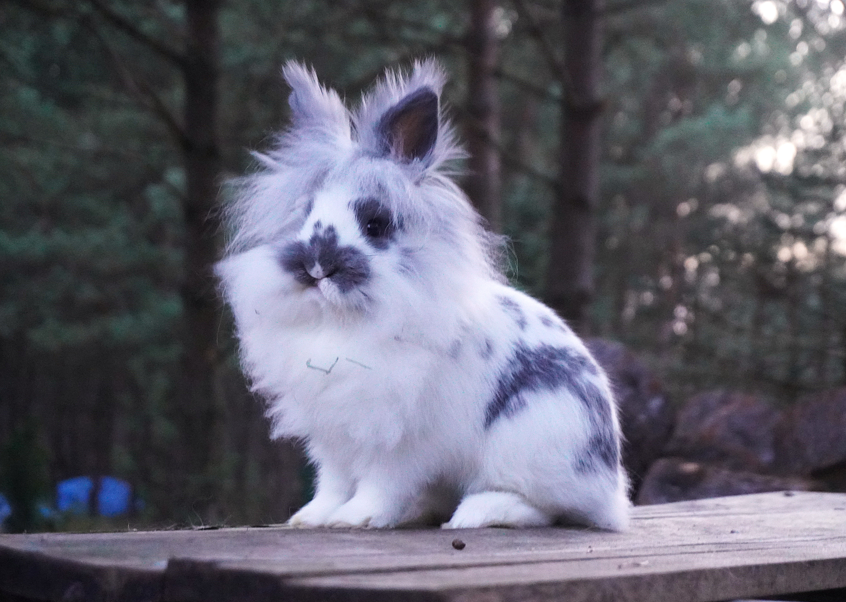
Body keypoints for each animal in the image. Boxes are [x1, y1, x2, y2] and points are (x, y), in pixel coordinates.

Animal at [215, 59, 631, 531]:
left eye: (375, 224)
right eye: (305, 216)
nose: (317, 267)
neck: (344, 321)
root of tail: (612, 490)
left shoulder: (397, 439)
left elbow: (380, 483)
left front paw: (355, 518)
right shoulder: (333, 438)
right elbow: (333, 483)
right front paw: (312, 517)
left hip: (533, 443)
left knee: (545, 507)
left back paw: (475, 514)